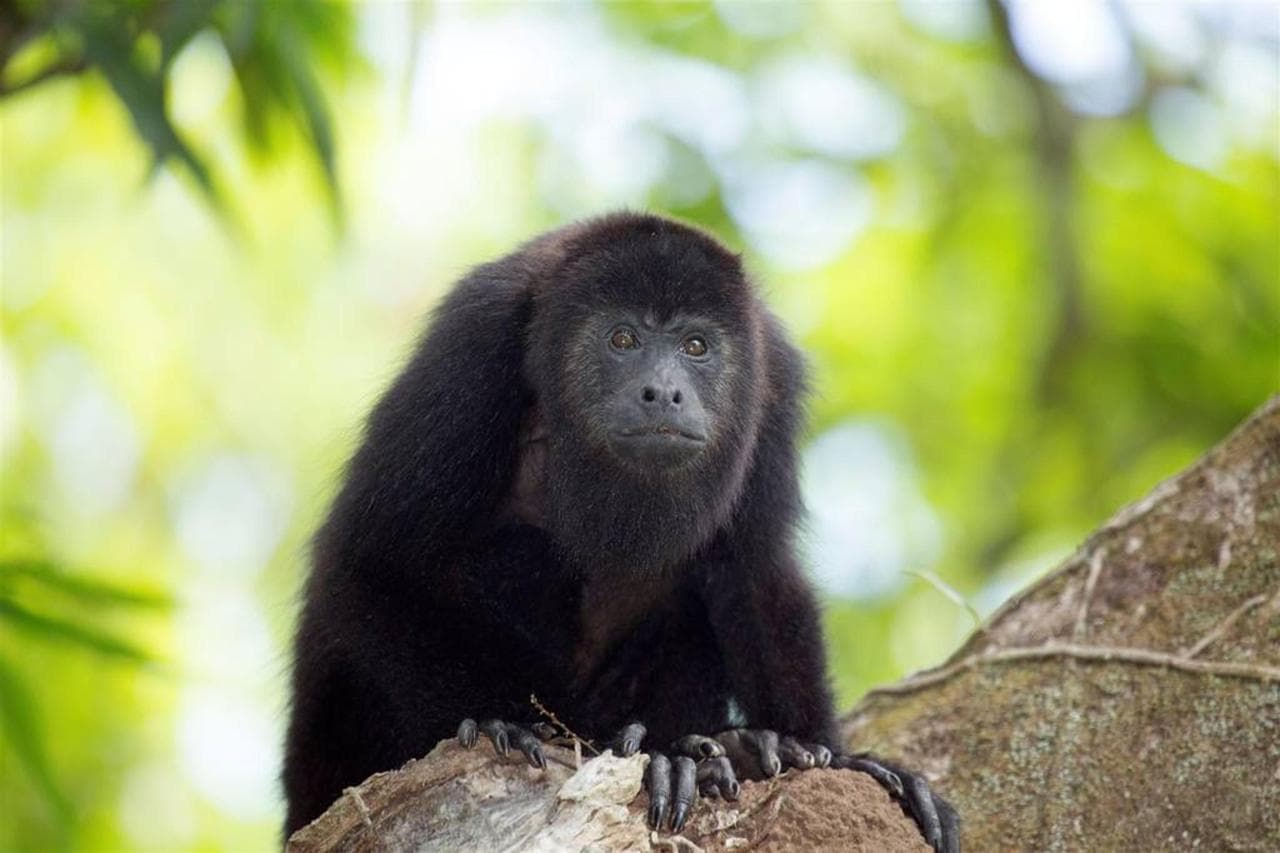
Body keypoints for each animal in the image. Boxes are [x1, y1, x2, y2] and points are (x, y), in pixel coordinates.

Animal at [282, 211, 958, 850]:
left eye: (695, 345)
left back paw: (719, 750)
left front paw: (820, 752)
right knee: (519, 550)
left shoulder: (773, 382)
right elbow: (372, 560)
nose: (664, 391)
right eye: (622, 338)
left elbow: (754, 569)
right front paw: (504, 722)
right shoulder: (470, 344)